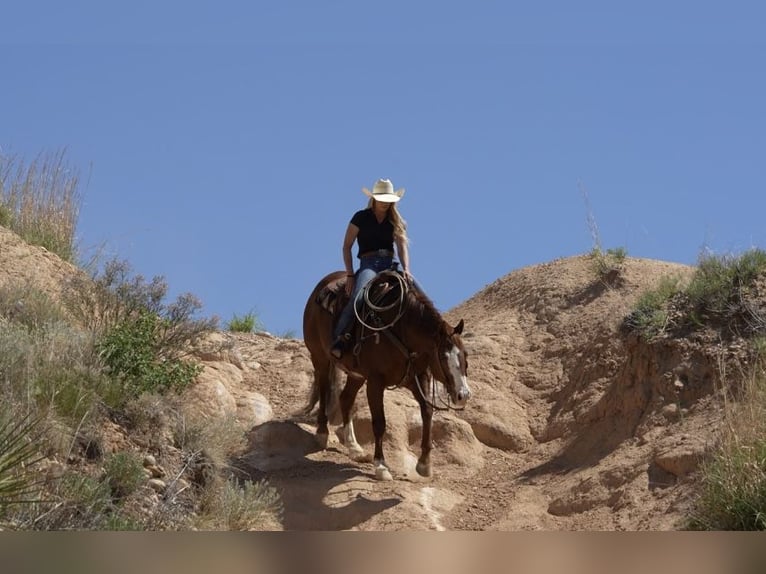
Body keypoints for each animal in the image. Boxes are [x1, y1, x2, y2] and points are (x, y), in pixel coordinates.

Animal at [304, 270, 472, 482]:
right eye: (443, 356)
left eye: (465, 355)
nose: (463, 395)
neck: (402, 331)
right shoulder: (375, 382)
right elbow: (379, 423)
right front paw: (381, 466)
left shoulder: (418, 377)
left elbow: (427, 412)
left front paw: (424, 464)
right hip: (320, 358)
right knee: (324, 390)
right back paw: (322, 433)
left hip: (357, 375)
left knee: (345, 399)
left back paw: (355, 448)